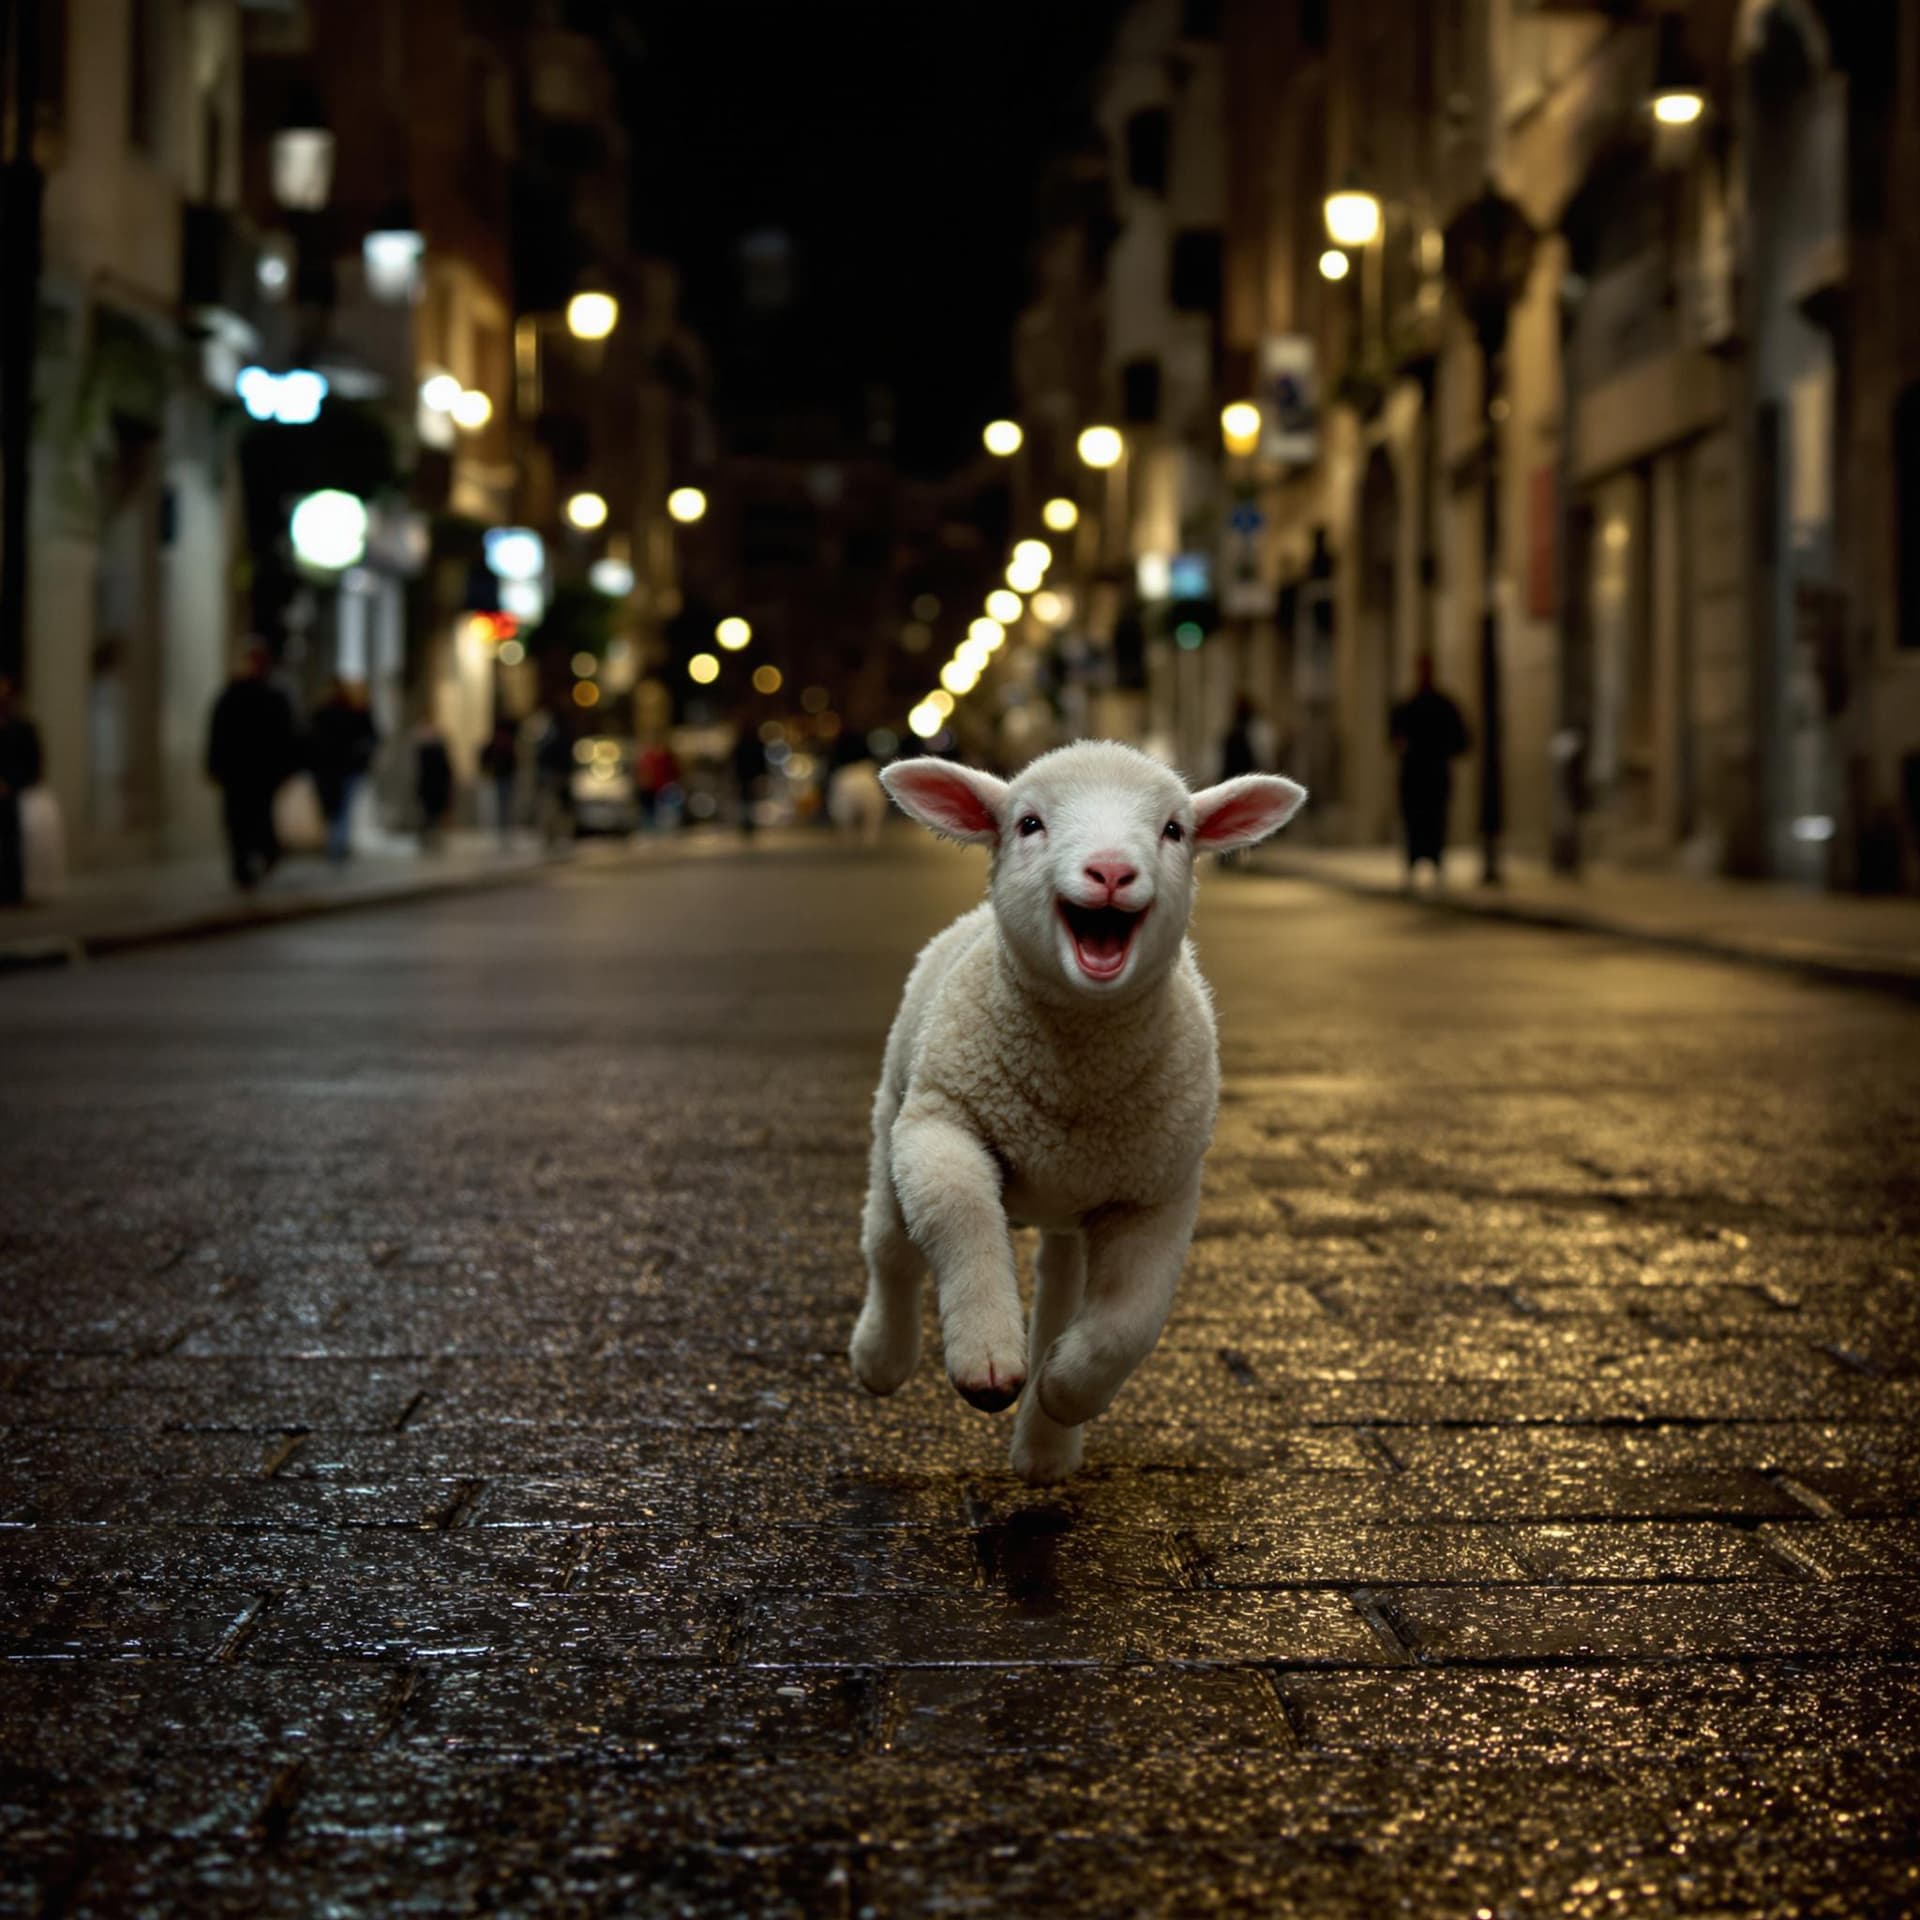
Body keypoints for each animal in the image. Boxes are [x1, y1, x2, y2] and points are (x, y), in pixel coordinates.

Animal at [849, 739, 1306, 1484]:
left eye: (1175, 830)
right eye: (1029, 823)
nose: (1112, 870)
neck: (1075, 1071)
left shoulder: (1159, 1188)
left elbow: (1129, 1322)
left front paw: (1066, 1391)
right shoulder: (942, 1125)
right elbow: (960, 1215)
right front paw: (986, 1360)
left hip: (1073, 1201)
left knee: (1059, 1287)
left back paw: (1044, 1447)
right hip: (894, 1117)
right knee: (890, 1248)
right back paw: (880, 1358)